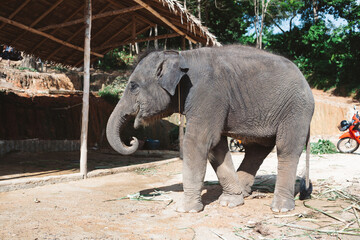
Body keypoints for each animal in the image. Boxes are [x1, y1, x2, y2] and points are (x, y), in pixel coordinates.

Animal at [105, 44, 314, 212]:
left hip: (296, 110)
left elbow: (198, 141)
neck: (181, 56)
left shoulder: (207, 94)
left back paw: (281, 208)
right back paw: (242, 193)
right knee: (257, 150)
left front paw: (186, 210)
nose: (133, 140)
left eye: (133, 86)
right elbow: (216, 146)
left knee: (286, 148)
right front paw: (230, 202)